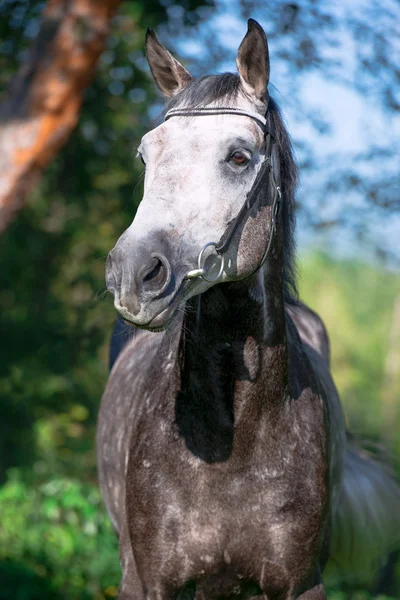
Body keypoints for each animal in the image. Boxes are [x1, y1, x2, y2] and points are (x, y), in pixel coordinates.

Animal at [97, 19, 400, 600]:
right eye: (147, 155)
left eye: (239, 157)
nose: (133, 276)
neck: (231, 447)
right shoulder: (145, 582)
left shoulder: (300, 584)